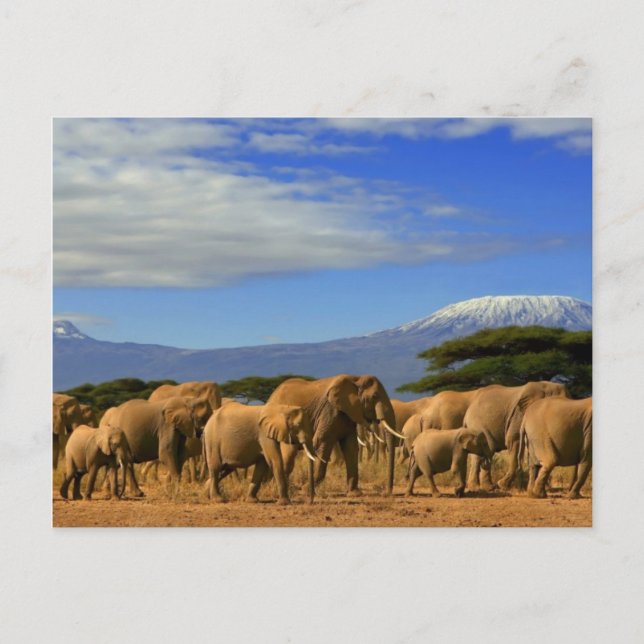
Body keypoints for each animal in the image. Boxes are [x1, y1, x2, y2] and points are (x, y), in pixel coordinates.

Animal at [268, 374, 402, 495]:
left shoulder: (348, 414)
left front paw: (354, 493)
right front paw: (306, 490)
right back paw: (277, 490)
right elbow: (323, 442)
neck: (356, 379)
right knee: (288, 455)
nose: (386, 493)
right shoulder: (330, 411)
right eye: (375, 396)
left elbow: (351, 447)